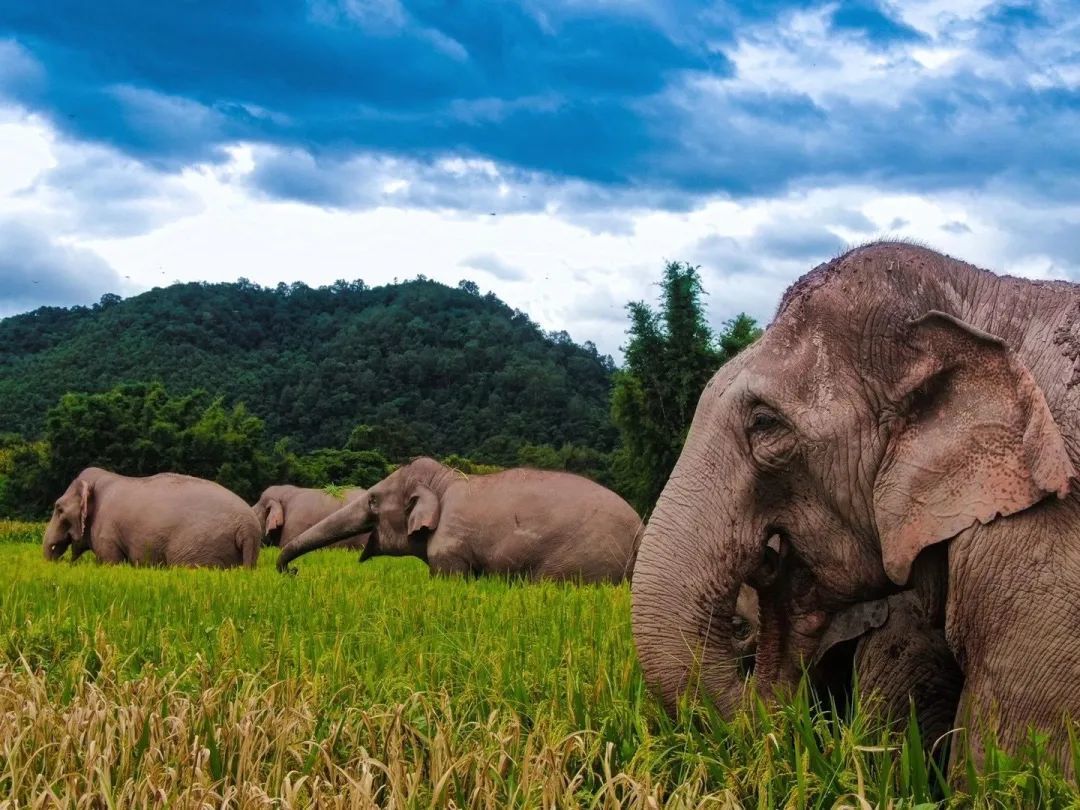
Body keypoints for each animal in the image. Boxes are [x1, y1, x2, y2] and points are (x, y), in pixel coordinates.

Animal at [278, 457, 643, 583]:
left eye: (373, 500)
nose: (292, 572)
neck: (444, 479)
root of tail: (639, 529)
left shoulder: (450, 545)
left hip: (584, 560)